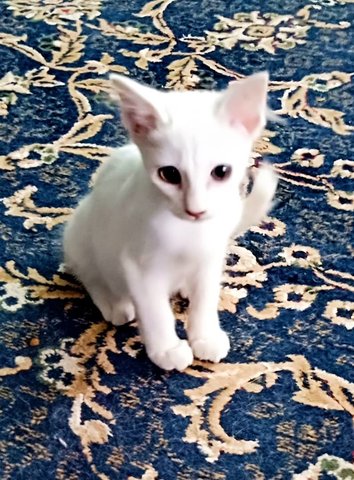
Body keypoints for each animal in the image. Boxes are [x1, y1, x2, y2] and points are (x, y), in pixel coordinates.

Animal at [64, 72, 280, 372]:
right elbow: (155, 312)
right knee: (89, 273)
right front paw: (166, 350)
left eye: (221, 172)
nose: (196, 210)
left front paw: (204, 336)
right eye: (169, 174)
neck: (190, 232)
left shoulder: (212, 256)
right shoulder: (138, 266)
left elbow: (206, 299)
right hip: (81, 231)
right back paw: (115, 304)